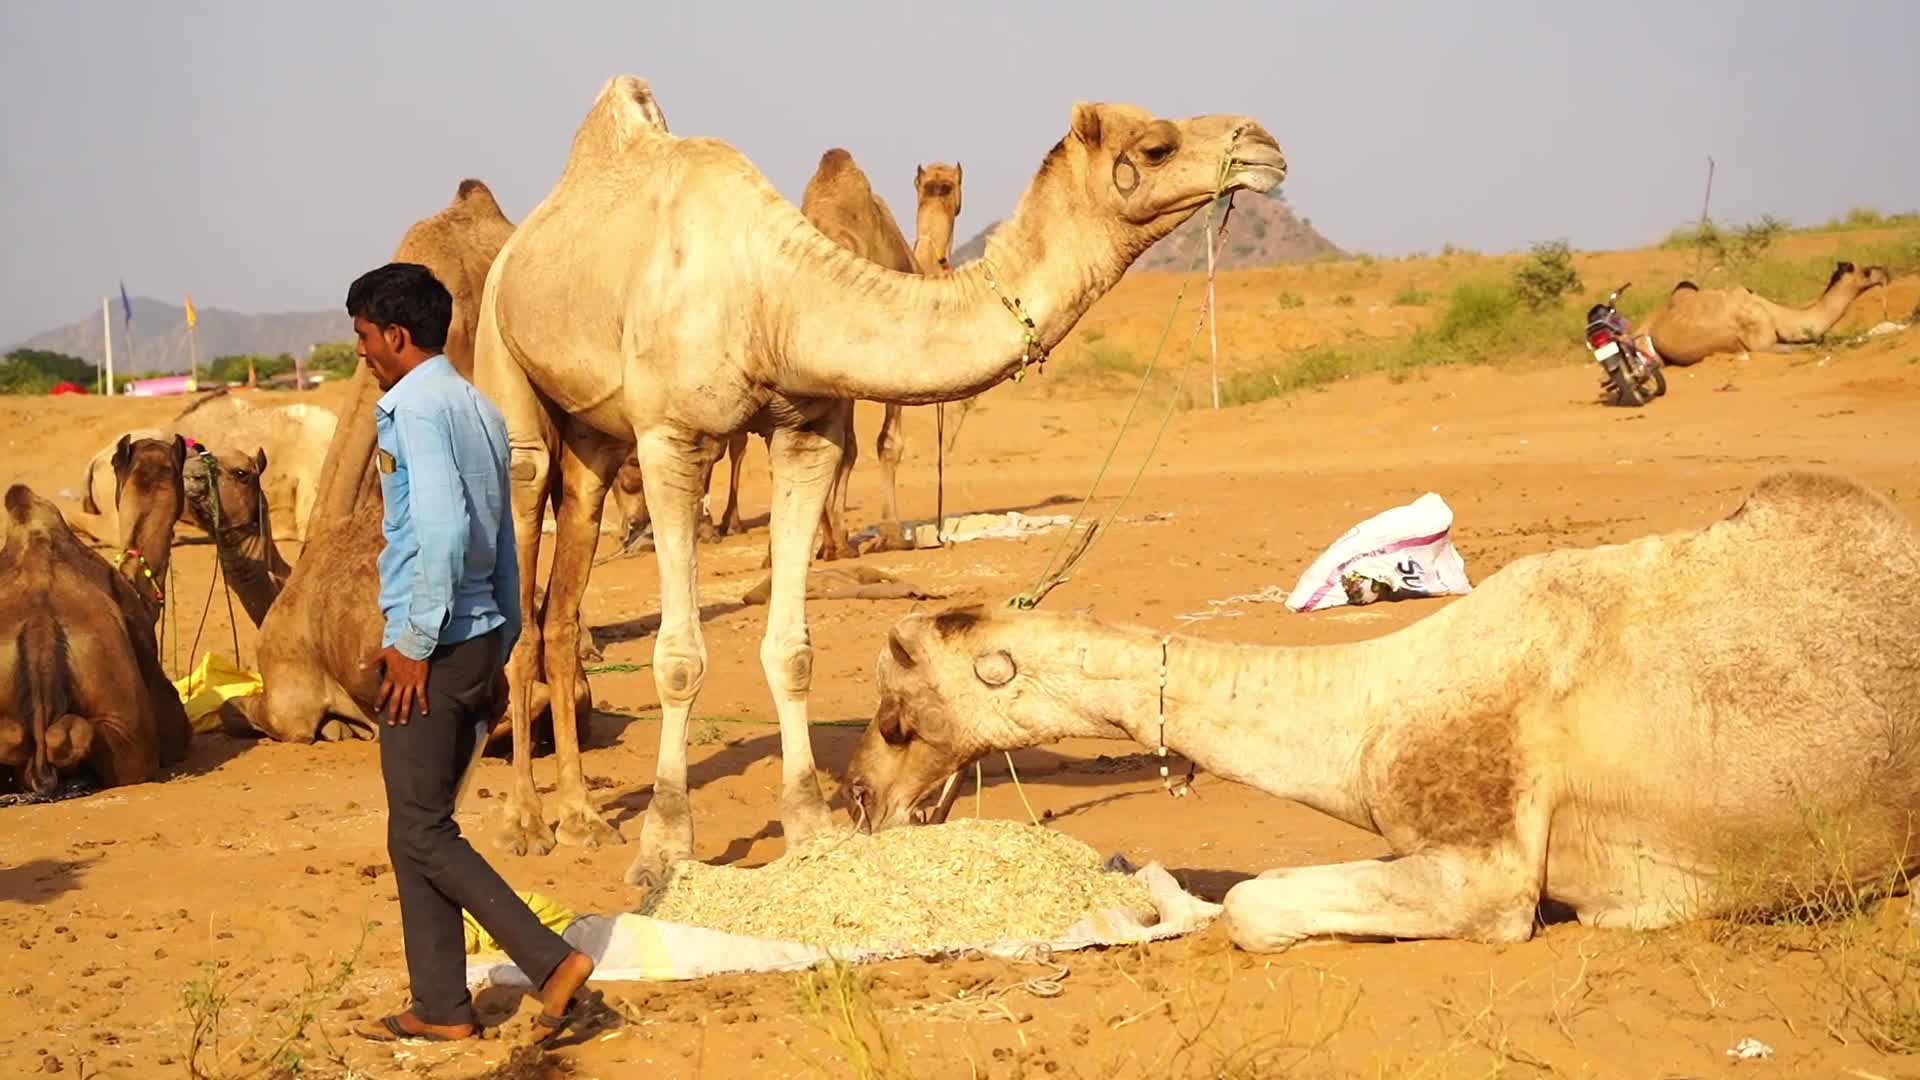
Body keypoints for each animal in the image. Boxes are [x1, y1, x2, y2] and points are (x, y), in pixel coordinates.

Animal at [473, 74, 1285, 882]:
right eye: (1156, 147)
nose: (1265, 145)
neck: (779, 300)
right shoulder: (674, 440)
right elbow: (678, 658)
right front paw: (664, 850)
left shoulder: (808, 434)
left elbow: (793, 650)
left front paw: (809, 829)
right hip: (503, 362)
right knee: (523, 535)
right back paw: (525, 823)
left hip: (597, 442)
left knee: (563, 592)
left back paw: (580, 817)